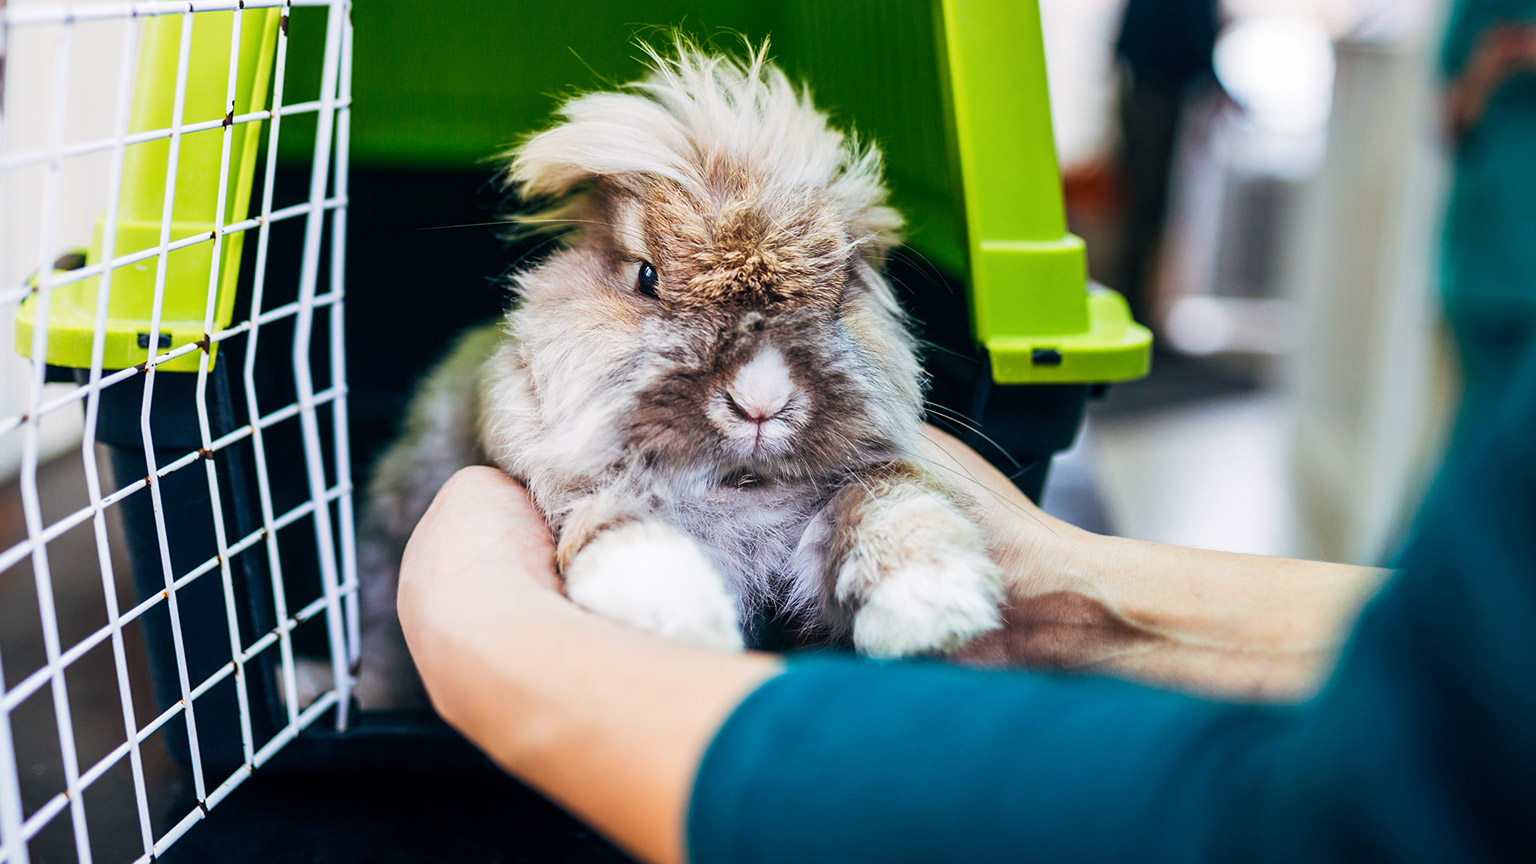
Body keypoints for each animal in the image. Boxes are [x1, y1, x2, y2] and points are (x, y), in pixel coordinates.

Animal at [353, 38, 1013, 707]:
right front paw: (686, 618)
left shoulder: (862, 486)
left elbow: (891, 502)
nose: (760, 401)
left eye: (841, 290)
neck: (736, 483)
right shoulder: (565, 482)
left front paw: (934, 604)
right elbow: (612, 521)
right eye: (646, 277)